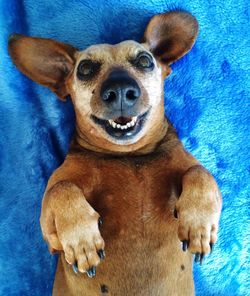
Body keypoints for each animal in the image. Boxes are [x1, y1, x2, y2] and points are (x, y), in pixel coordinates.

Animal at [8, 9, 223, 296]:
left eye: (145, 60)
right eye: (85, 68)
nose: (119, 89)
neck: (129, 158)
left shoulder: (189, 167)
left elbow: (200, 172)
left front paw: (199, 225)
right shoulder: (50, 236)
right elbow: (61, 189)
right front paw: (83, 240)